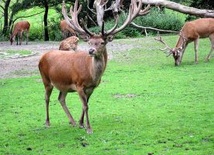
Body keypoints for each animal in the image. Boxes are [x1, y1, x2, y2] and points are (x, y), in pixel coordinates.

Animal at [38, 0, 145, 133]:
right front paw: (89, 128)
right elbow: (85, 106)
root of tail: (42, 57)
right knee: (46, 98)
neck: (91, 75)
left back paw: (72, 121)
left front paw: (81, 123)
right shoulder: (79, 85)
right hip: (46, 80)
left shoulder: (91, 88)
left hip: (64, 84)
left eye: (102, 42)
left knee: (61, 98)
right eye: (90, 42)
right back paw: (47, 122)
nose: (91, 50)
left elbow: (86, 105)